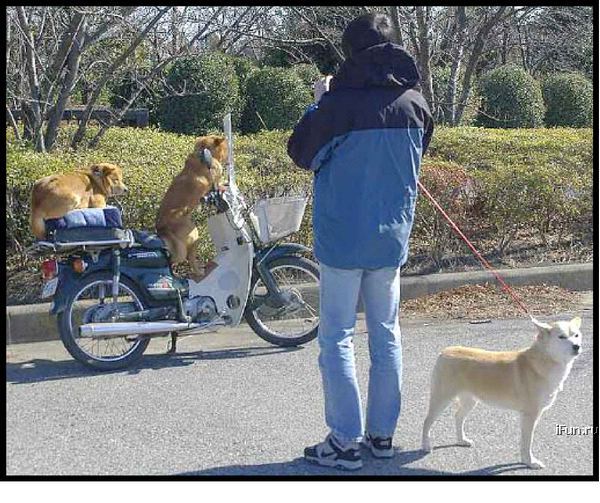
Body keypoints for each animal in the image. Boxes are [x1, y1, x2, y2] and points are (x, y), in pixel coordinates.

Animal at [155, 136, 227, 282]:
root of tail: (161, 228)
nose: (228, 160)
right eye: (226, 148)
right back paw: (195, 273)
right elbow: (220, 183)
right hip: (192, 236)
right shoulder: (215, 179)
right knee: (184, 259)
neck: (203, 153)